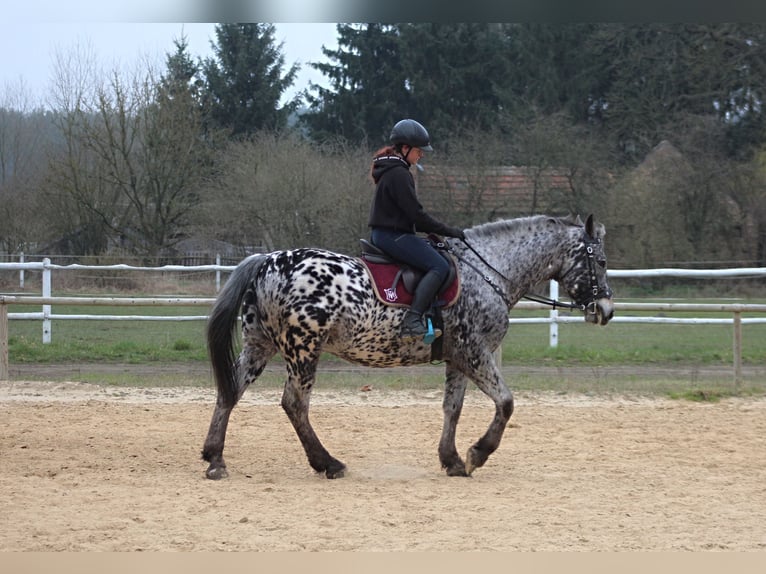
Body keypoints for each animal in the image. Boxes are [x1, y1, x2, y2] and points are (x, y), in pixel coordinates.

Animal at [201, 214, 616, 480]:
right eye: (601, 261)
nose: (606, 310)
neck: (488, 272)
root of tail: (265, 261)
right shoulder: (475, 352)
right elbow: (506, 402)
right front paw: (478, 453)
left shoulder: (457, 358)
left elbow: (453, 408)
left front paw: (451, 460)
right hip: (303, 349)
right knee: (294, 404)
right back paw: (327, 463)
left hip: (260, 345)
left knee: (230, 392)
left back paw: (215, 459)